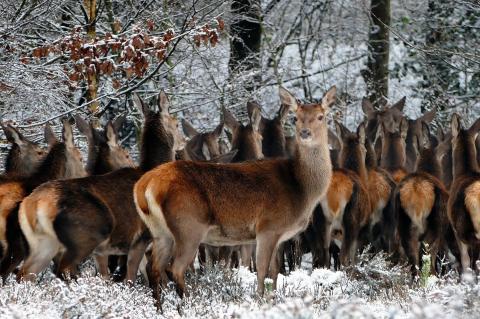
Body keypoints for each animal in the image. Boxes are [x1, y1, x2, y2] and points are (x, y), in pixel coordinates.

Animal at [16, 91, 182, 284]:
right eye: (177, 123)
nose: (184, 141)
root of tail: (36, 203)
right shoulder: (140, 238)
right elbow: (131, 278)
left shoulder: (103, 252)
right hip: (86, 234)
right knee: (63, 268)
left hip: (42, 243)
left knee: (24, 274)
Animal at [132, 85, 334, 298]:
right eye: (296, 117)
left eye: (321, 116)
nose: (305, 133)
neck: (300, 188)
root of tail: (144, 184)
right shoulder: (268, 227)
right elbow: (262, 271)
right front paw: (260, 298)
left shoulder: (278, 235)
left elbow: (274, 272)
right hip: (188, 225)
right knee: (175, 268)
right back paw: (187, 301)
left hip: (160, 231)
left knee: (153, 267)